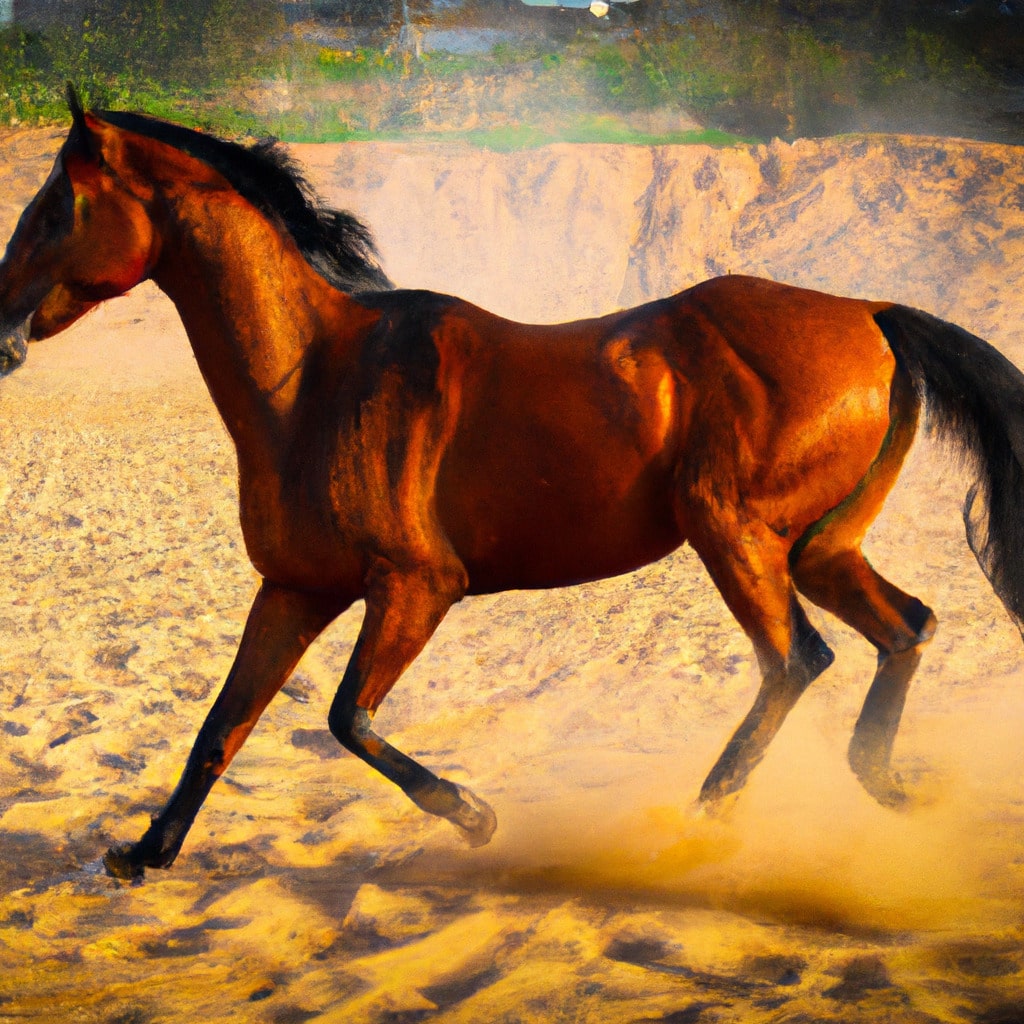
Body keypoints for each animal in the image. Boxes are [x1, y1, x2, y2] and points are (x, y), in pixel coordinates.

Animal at [2, 86, 1024, 880]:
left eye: (56, 210)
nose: (2, 329)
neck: (313, 377)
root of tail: (871, 313)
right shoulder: (295, 589)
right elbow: (223, 723)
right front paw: (143, 855)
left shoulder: (416, 586)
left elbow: (346, 717)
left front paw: (474, 815)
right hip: (815, 547)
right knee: (906, 629)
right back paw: (890, 791)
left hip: (730, 533)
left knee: (798, 660)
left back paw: (700, 822)